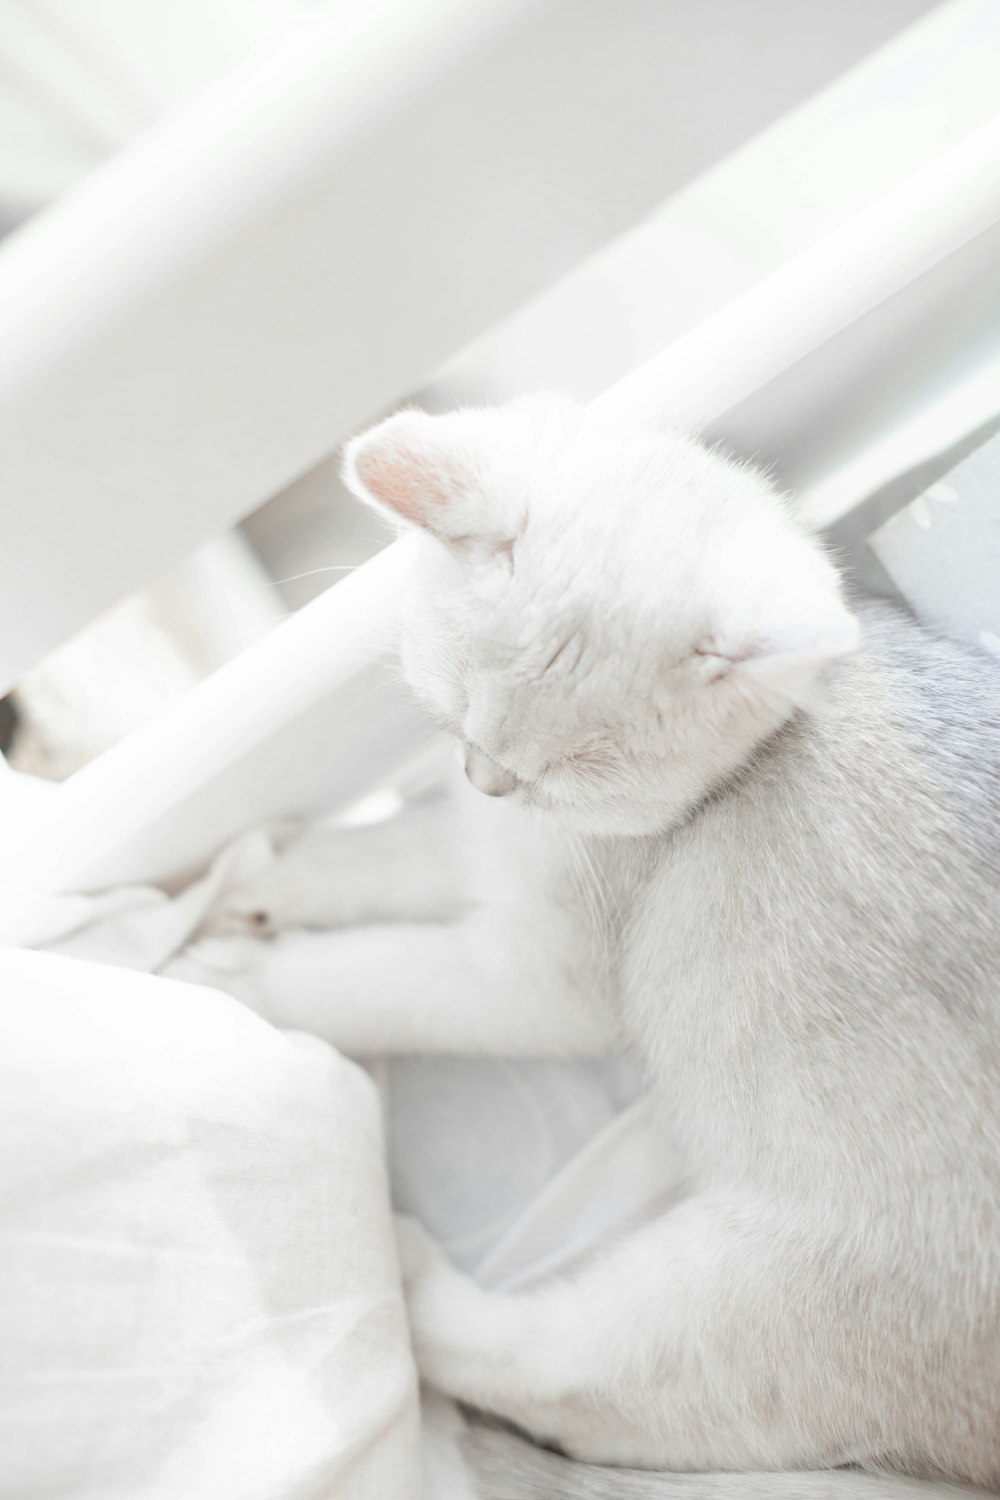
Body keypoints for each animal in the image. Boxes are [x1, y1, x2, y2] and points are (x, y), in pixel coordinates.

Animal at [203, 399, 1000, 1500]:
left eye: (567, 773)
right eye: (455, 709)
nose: (485, 776)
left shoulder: (533, 978)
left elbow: (384, 974)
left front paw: (244, 982)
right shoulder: (474, 847)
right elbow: (381, 859)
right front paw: (263, 889)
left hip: (743, 1311)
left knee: (559, 1382)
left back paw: (410, 1280)